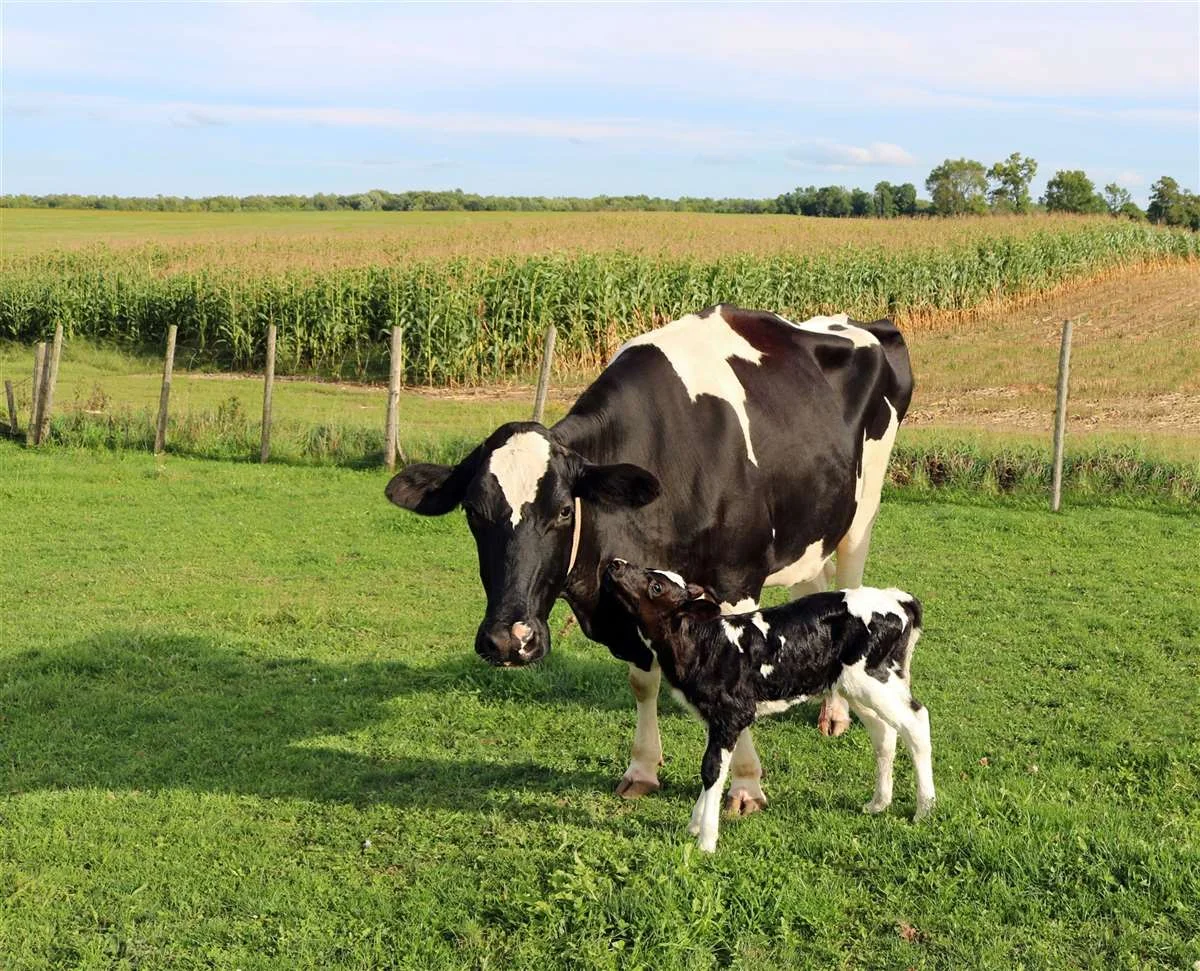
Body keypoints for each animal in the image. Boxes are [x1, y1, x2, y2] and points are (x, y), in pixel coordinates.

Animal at [385, 304, 913, 814]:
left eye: (563, 511)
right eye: (473, 512)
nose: (508, 640)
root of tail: (863, 323)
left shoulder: (737, 580)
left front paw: (745, 785)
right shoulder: (628, 593)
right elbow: (643, 681)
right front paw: (641, 770)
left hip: (861, 510)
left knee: (849, 583)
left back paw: (836, 712)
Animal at [602, 559, 934, 852]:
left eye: (656, 586)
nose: (616, 563)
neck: (704, 643)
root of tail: (897, 599)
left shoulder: (731, 714)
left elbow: (711, 770)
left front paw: (706, 841)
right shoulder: (715, 718)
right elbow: (714, 767)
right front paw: (695, 825)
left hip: (873, 677)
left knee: (916, 721)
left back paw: (925, 809)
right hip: (855, 684)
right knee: (885, 732)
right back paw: (878, 803)